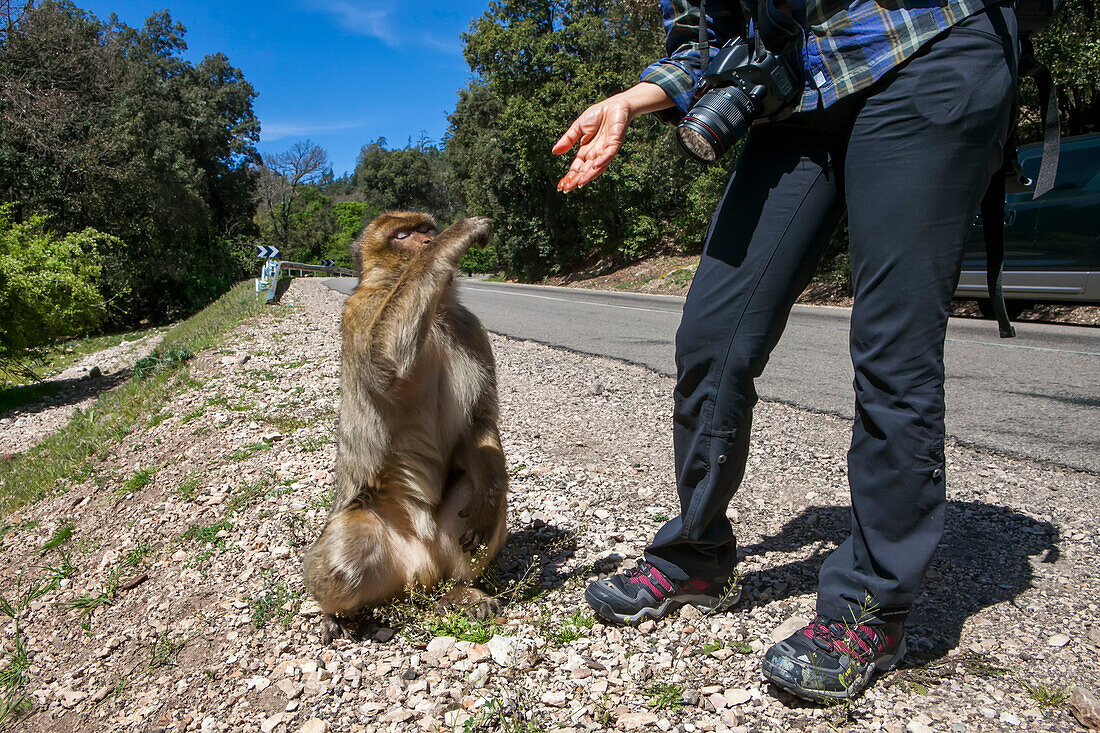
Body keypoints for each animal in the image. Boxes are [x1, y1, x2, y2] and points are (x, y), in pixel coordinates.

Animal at [301, 211, 506, 638]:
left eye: (425, 229)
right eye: (403, 235)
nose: (427, 240)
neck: (437, 311)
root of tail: (421, 573)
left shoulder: (470, 328)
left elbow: (478, 421)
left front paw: (489, 503)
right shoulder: (361, 309)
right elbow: (385, 362)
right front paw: (453, 240)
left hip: (442, 551)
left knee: (471, 491)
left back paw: (462, 591)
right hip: (381, 550)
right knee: (344, 557)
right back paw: (332, 613)